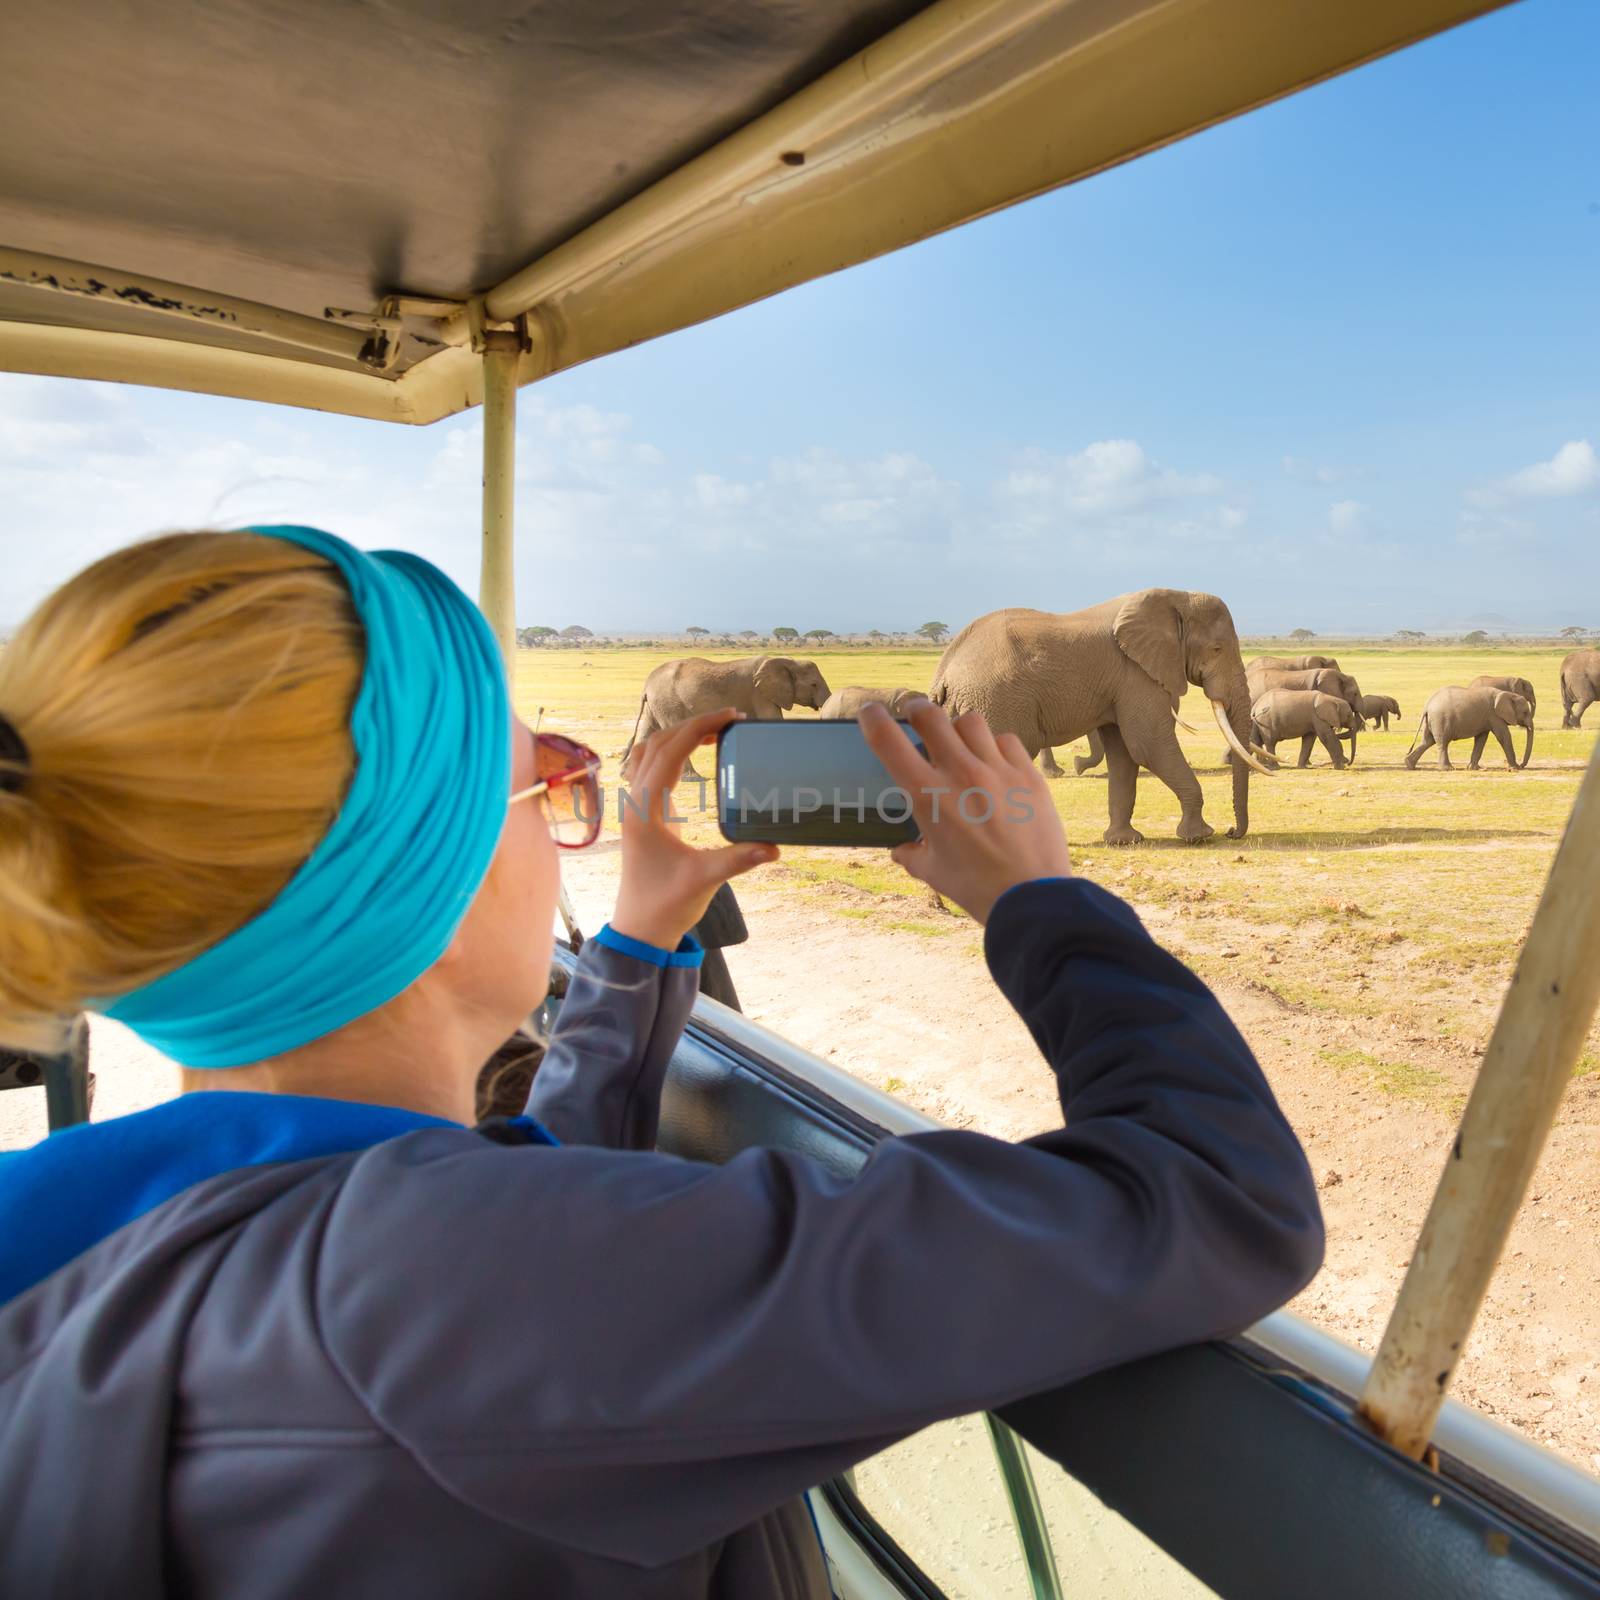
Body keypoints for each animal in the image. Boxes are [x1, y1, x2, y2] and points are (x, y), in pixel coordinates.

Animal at [617, 649, 832, 774]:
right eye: (813, 684)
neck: (787, 661)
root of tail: (647, 684)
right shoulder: (760, 694)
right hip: (668, 701)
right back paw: (693, 778)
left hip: (657, 703)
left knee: (648, 729)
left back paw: (626, 776)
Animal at [928, 592, 1273, 851]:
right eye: (1216, 649)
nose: (1231, 831)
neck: (1176, 597)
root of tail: (944, 674)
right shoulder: (1136, 675)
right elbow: (1149, 745)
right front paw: (1198, 836)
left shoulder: (1122, 682)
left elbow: (1123, 754)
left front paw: (1124, 841)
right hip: (996, 704)